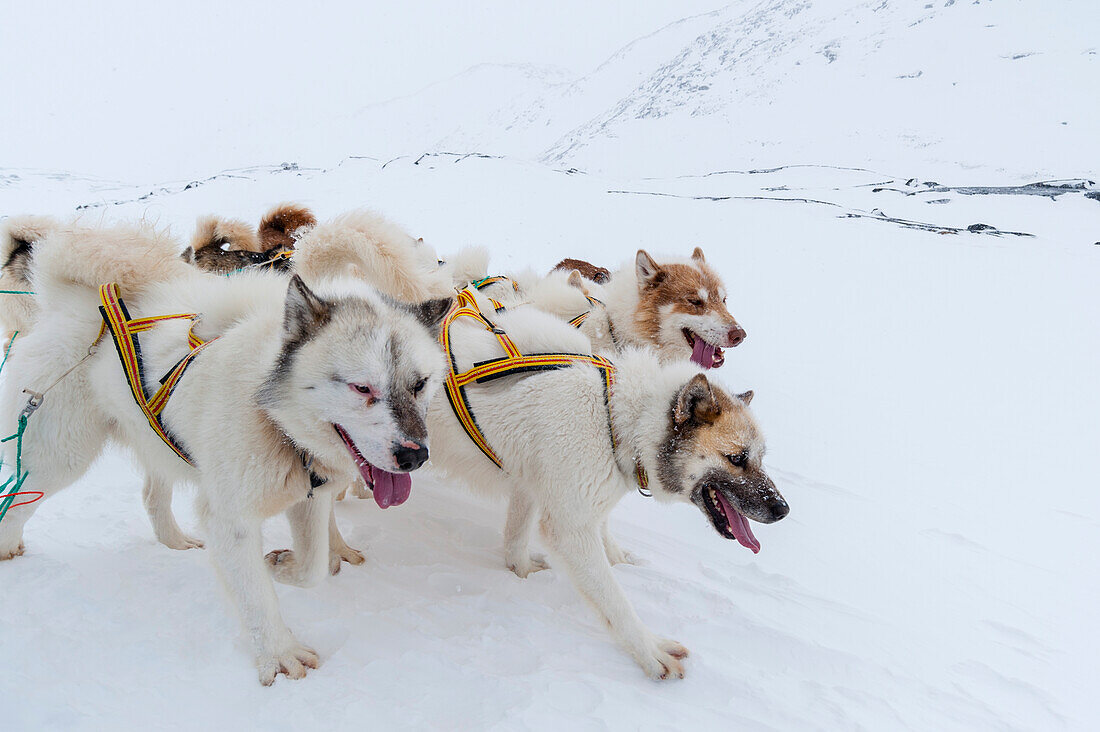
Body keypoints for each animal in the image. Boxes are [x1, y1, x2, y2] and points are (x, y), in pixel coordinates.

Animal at [0, 224, 451, 686]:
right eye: (362, 388)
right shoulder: (230, 519)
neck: (273, 417)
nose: (415, 456)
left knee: (151, 495)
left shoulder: (309, 497)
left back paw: (175, 541)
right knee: (18, 501)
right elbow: (255, 598)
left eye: (420, 383)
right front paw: (279, 653)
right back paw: (8, 547)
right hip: (61, 458)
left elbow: (312, 567)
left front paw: (282, 565)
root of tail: (74, 304)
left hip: (158, 444)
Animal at [422, 290, 792, 678]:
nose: (782, 509)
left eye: (761, 457)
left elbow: (517, 537)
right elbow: (615, 602)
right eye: (737, 458)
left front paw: (521, 569)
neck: (614, 418)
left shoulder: (535, 488)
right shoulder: (571, 528)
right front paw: (650, 651)